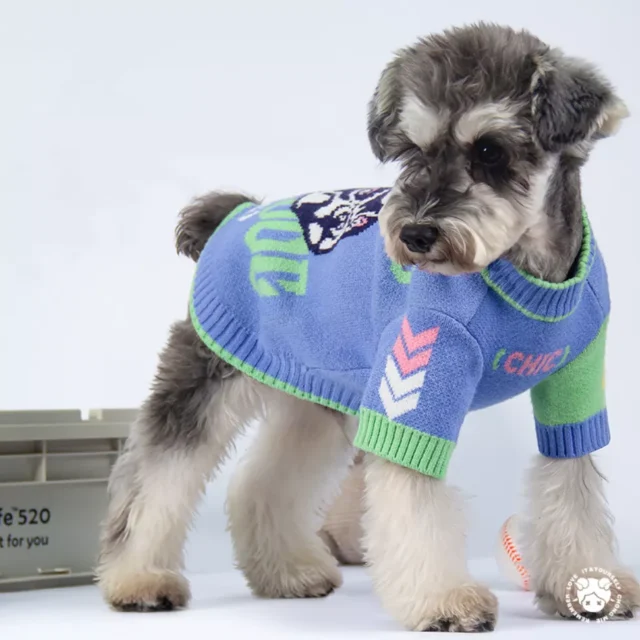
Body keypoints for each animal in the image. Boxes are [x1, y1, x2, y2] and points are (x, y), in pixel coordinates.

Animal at [96, 23, 640, 632]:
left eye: (489, 150)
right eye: (412, 152)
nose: (416, 234)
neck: (526, 273)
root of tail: (233, 215)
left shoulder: (574, 386)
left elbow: (573, 483)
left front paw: (590, 583)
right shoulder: (418, 378)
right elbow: (414, 498)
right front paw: (443, 601)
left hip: (318, 398)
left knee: (260, 483)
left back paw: (288, 573)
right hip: (206, 379)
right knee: (156, 477)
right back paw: (139, 579)